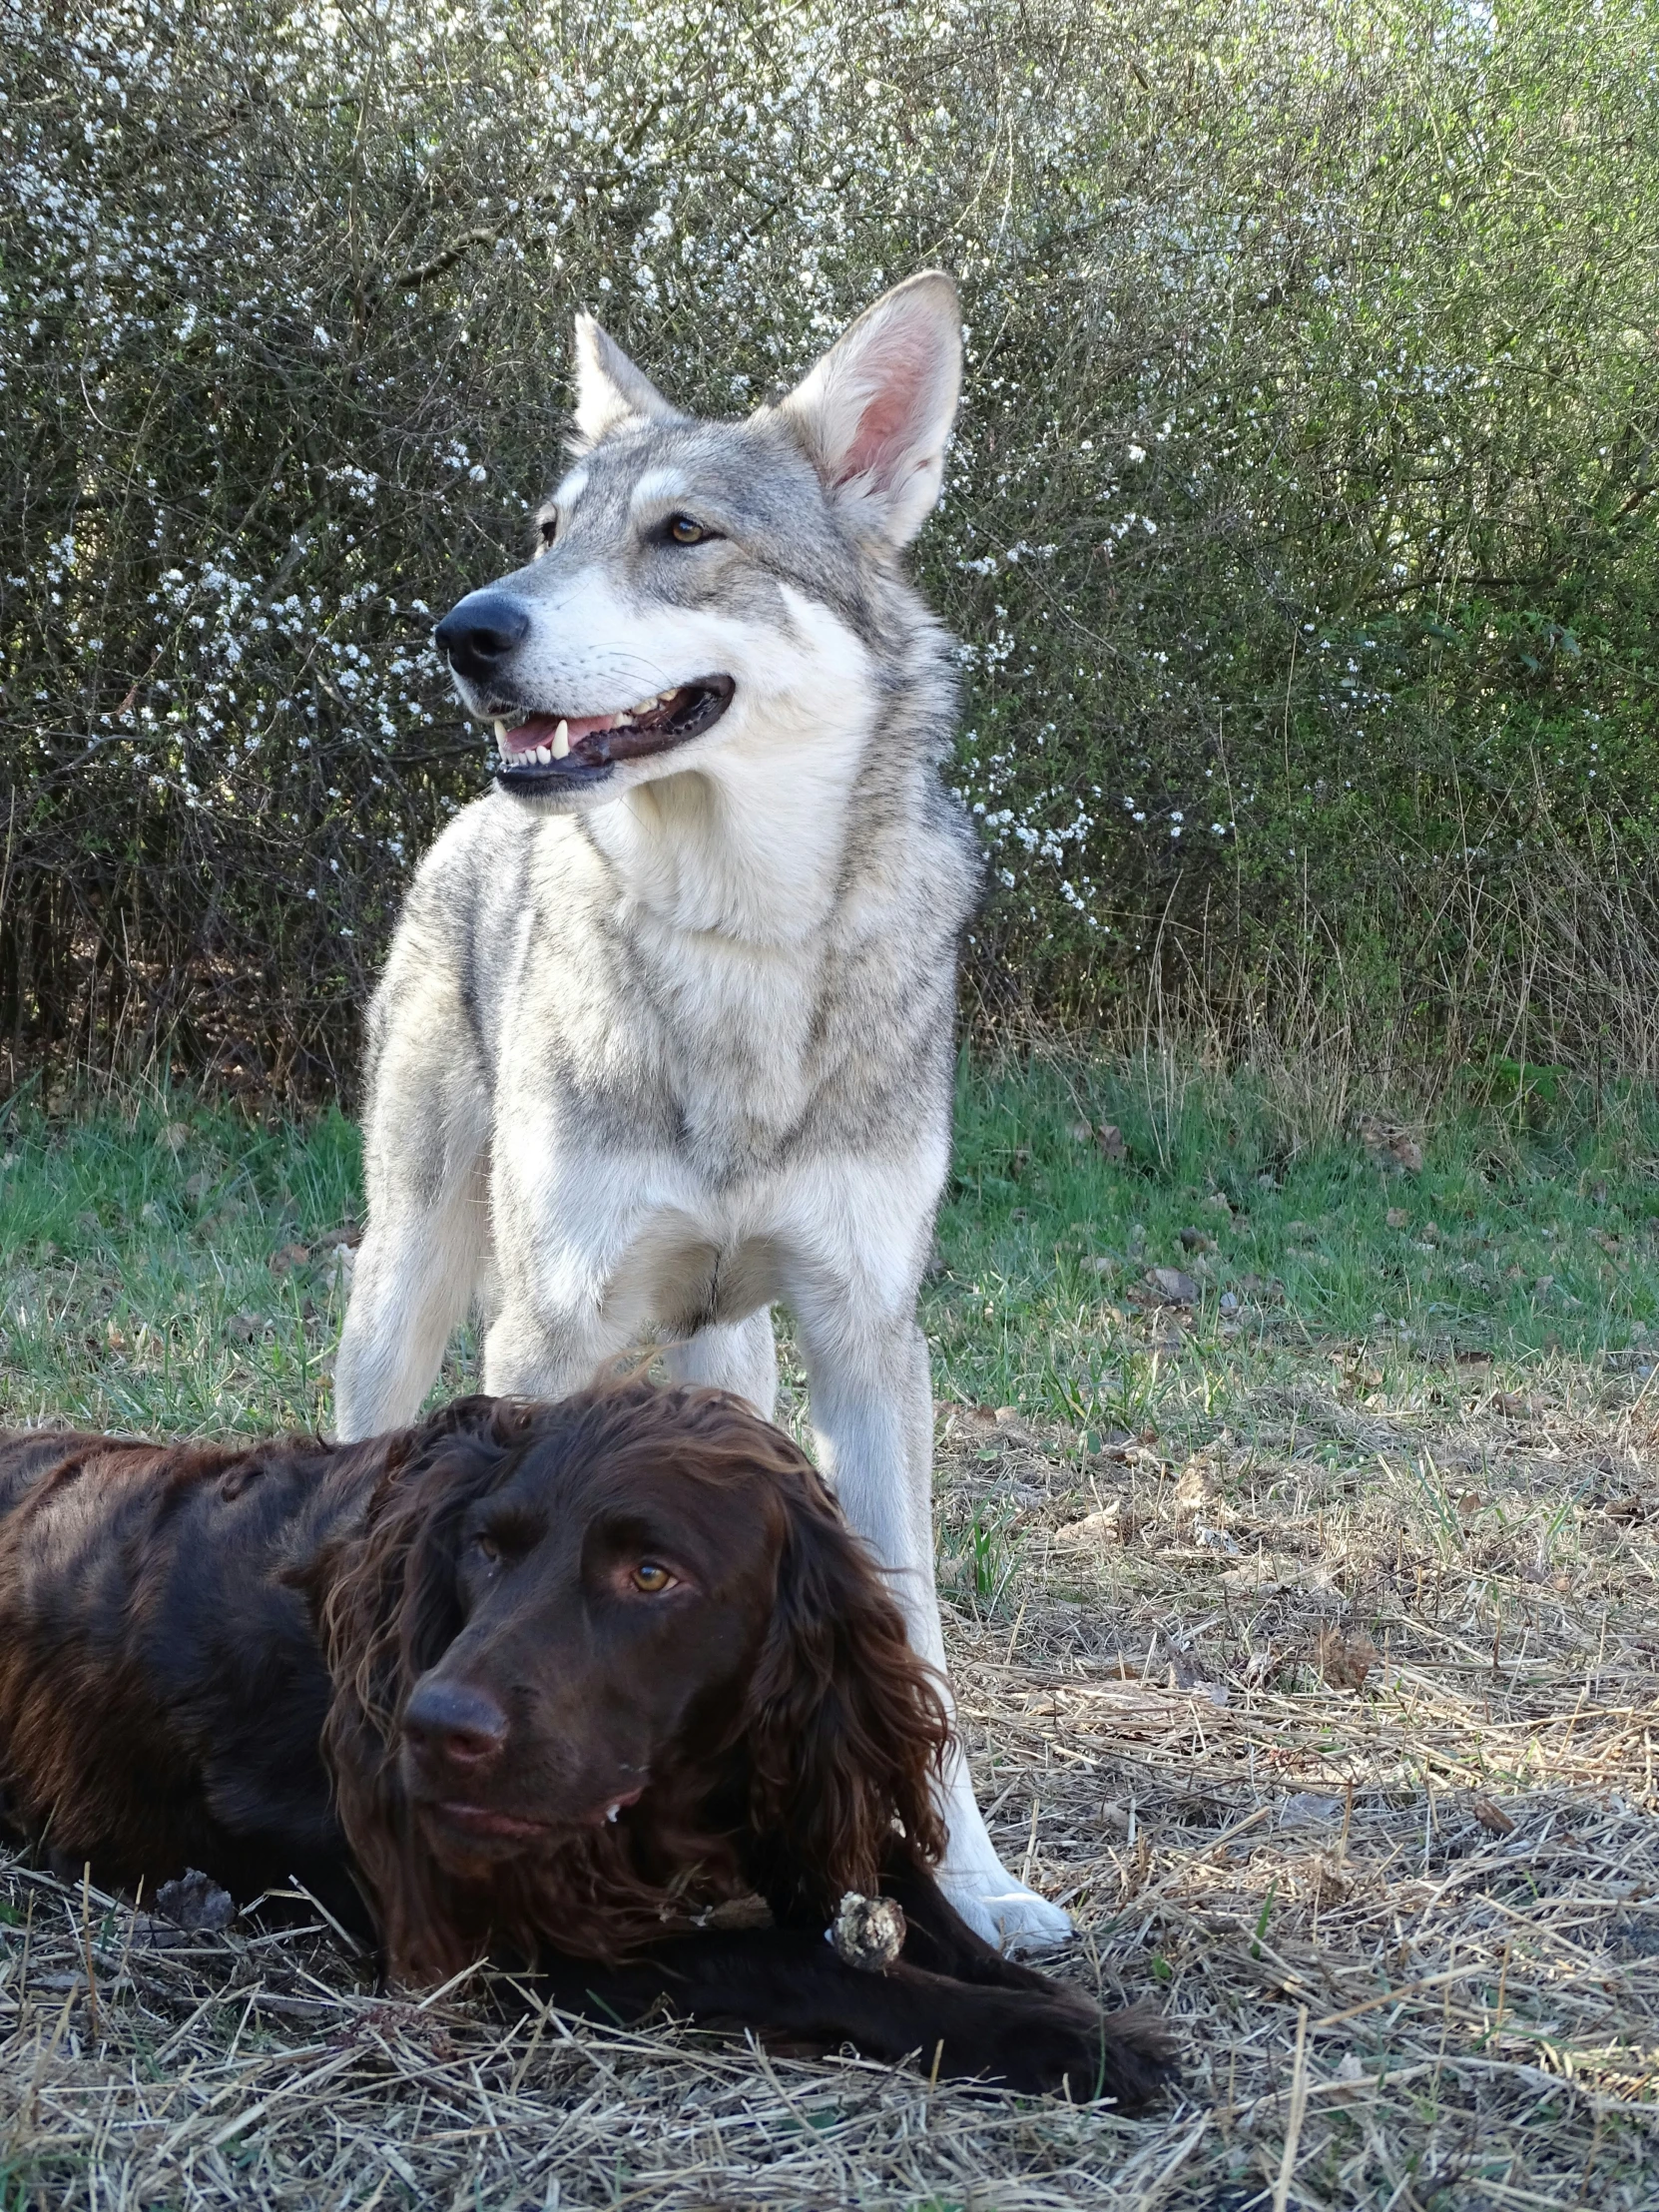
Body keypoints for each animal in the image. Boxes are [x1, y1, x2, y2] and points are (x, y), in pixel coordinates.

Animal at [0, 1388, 1185, 2096]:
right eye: (487, 1547)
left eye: (651, 1574)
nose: (435, 1726)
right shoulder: (508, 1933)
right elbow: (789, 1958)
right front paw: (1065, 2041)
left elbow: (910, 1903)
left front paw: (1041, 1994)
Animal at [333, 276, 1070, 1954]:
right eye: (549, 528)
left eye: (681, 534)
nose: (467, 630)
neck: (740, 951)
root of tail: (468, 825)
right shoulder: (541, 1330)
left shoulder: (870, 1341)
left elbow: (917, 1631)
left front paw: (976, 1889)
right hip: (404, 1291)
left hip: (730, 1358)